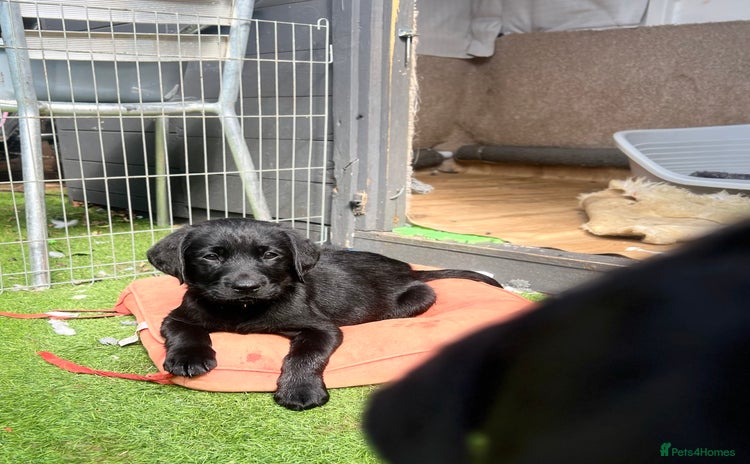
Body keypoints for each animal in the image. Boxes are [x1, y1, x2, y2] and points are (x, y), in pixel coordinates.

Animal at [146, 218, 501, 410]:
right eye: (211, 257)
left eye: (270, 255)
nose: (246, 286)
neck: (243, 310)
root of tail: (411, 269)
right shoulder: (178, 314)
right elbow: (185, 331)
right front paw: (188, 358)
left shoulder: (320, 327)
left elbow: (306, 354)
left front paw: (300, 390)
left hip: (416, 297)